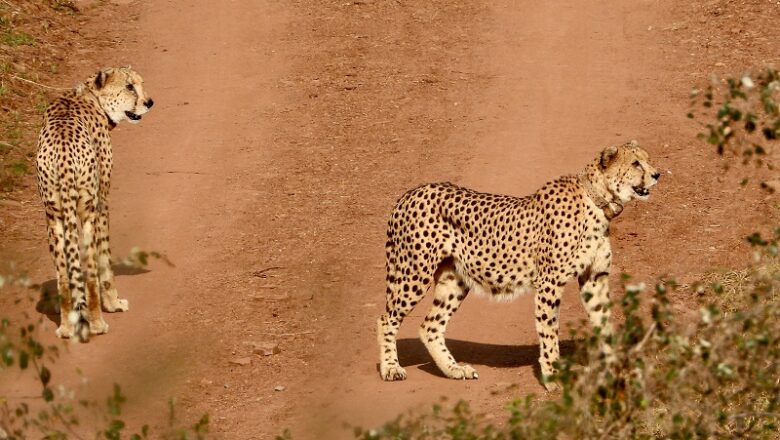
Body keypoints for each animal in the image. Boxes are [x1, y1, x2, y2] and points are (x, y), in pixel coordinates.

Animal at [37, 67, 156, 340]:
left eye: (140, 84)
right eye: (129, 86)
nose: (149, 103)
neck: (91, 97)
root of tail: (63, 155)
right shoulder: (102, 201)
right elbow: (105, 258)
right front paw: (113, 303)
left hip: (53, 216)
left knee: (63, 277)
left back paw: (66, 328)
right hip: (87, 212)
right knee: (90, 272)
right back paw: (98, 323)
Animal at [376, 141, 660, 388]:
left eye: (647, 159)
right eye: (636, 163)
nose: (657, 174)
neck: (598, 201)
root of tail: (411, 193)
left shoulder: (594, 277)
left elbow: (604, 323)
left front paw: (617, 367)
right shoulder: (550, 282)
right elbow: (549, 331)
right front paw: (552, 375)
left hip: (454, 279)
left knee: (430, 326)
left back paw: (454, 369)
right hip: (414, 273)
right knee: (386, 319)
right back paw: (391, 368)